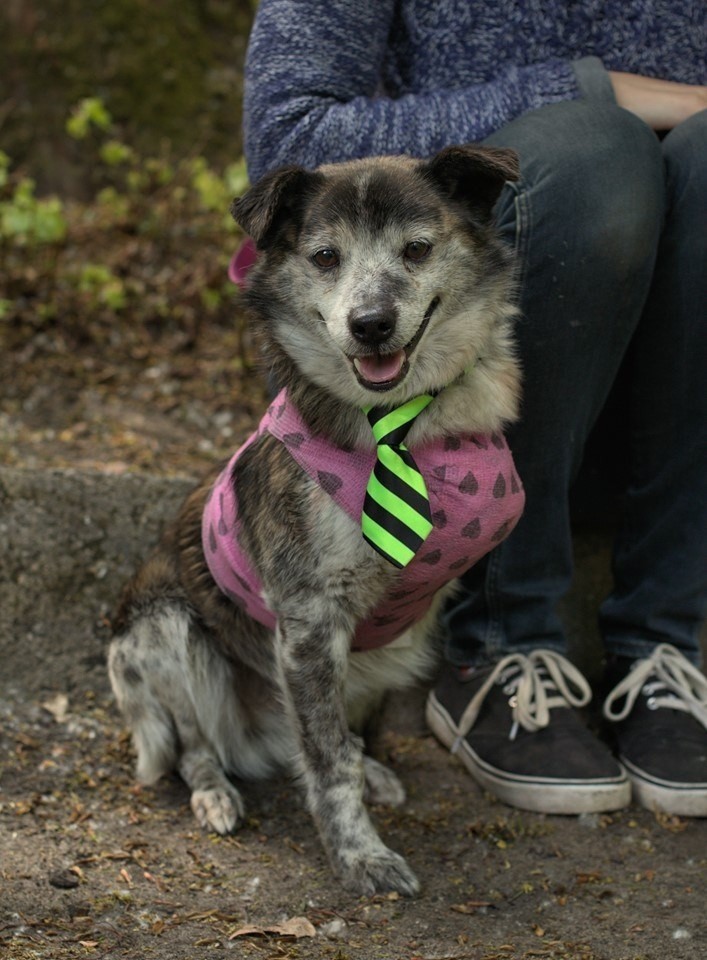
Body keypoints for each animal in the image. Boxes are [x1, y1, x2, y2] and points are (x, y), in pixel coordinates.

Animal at [108, 146, 524, 896]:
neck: (400, 425)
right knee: (193, 745)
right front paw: (359, 856)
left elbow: (345, 745)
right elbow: (328, 764)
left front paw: (368, 786)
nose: (370, 323)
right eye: (325, 257)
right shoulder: (308, 621)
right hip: (162, 631)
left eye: (418, 249)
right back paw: (215, 793)